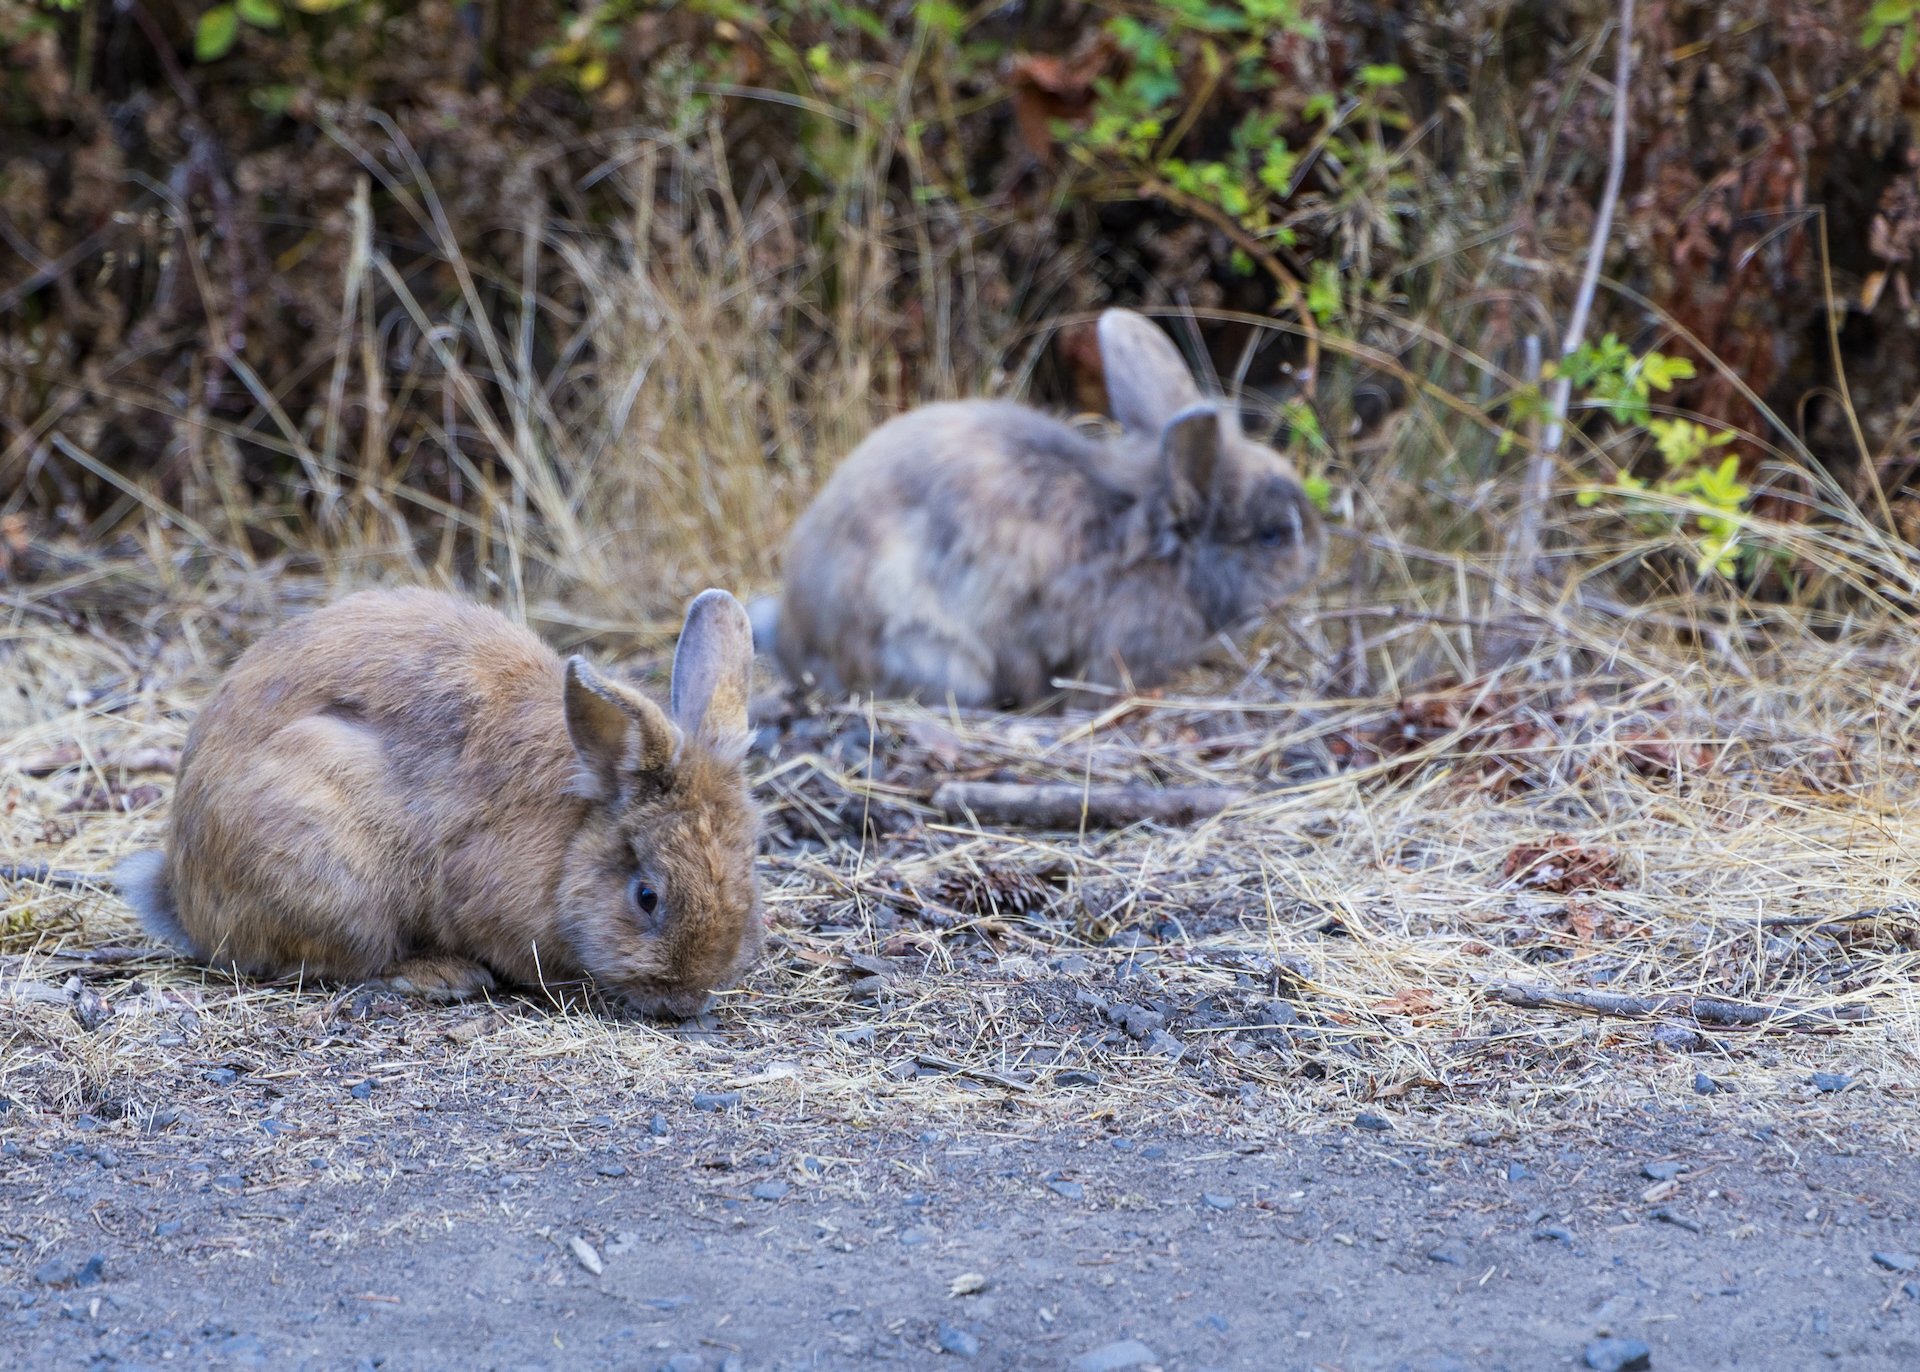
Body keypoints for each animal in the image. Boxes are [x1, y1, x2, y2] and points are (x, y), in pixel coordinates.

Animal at [114, 583, 764, 1020]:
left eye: (749, 886)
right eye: (647, 897)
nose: (684, 1001)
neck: (572, 835)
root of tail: (180, 895)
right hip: (329, 876)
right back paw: (444, 975)